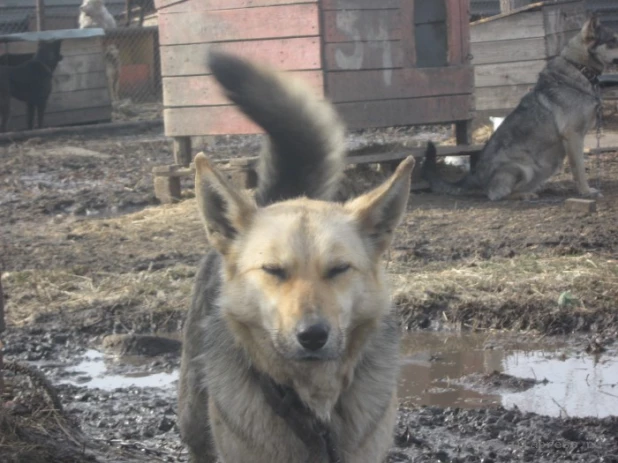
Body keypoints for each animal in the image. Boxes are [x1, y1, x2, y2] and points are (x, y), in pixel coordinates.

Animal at [422, 15, 616, 201]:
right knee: (497, 195)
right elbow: (579, 169)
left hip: (547, 166)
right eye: (613, 40)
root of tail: (475, 176)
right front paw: (586, 192)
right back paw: (525, 195)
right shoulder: (573, 136)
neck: (580, 68)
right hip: (524, 169)